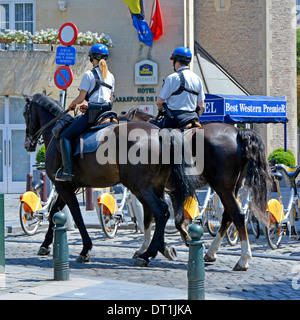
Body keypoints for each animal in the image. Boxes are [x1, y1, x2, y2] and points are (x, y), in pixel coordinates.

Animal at [22, 92, 198, 264]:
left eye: (24, 113)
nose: (27, 144)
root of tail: (160, 133)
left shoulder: (62, 186)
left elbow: (75, 215)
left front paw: (85, 249)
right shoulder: (67, 187)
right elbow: (54, 212)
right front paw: (45, 244)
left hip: (139, 187)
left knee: (161, 211)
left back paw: (148, 253)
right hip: (156, 186)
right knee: (157, 213)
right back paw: (157, 248)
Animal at [119, 108, 272, 270]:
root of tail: (237, 132)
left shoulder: (150, 190)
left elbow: (150, 219)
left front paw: (145, 249)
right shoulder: (173, 192)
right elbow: (177, 220)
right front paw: (180, 242)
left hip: (223, 188)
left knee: (238, 215)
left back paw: (243, 259)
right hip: (232, 188)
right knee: (227, 217)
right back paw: (211, 253)